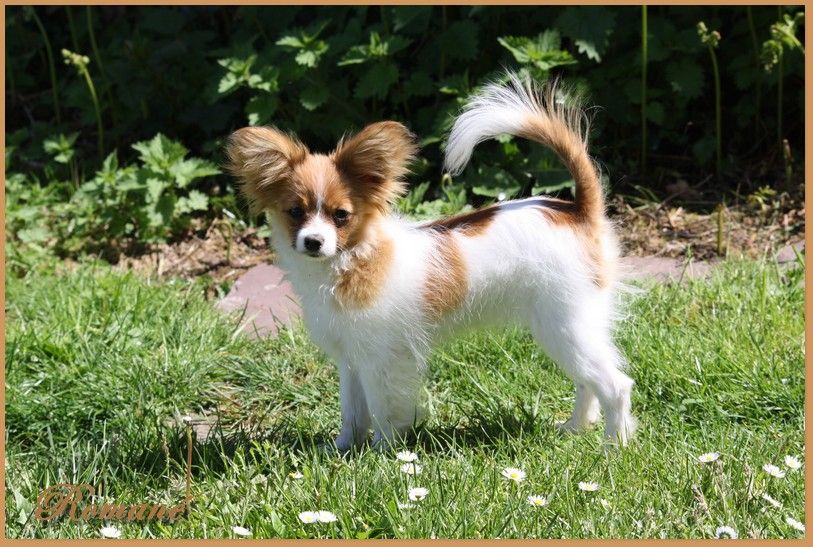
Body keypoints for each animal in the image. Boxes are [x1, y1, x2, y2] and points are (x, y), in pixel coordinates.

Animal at [225, 71, 636, 450]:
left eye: (341, 216)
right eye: (295, 212)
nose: (313, 241)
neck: (352, 261)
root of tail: (576, 210)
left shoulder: (382, 360)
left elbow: (382, 410)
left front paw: (382, 454)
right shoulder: (351, 359)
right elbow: (353, 411)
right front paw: (342, 449)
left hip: (564, 324)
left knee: (614, 384)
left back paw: (613, 445)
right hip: (571, 329)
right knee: (587, 381)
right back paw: (576, 428)